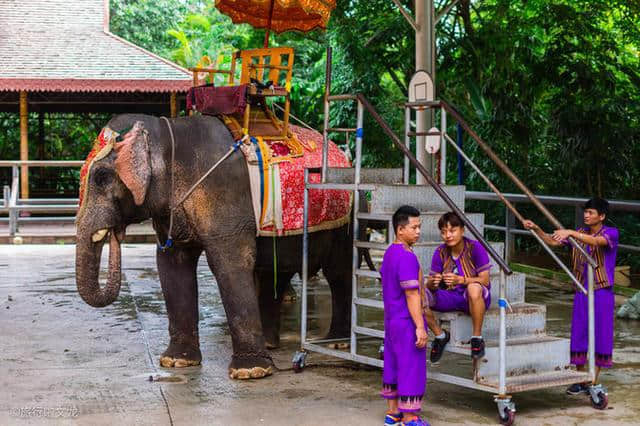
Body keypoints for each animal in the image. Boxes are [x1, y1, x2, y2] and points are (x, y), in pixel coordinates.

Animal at [78, 114, 356, 380]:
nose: (116, 232)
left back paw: (335, 344)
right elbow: (172, 265)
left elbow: (230, 264)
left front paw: (249, 372)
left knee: (338, 273)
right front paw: (176, 362)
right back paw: (271, 344)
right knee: (276, 274)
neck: (168, 132)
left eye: (101, 177)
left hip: (346, 221)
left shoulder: (224, 193)